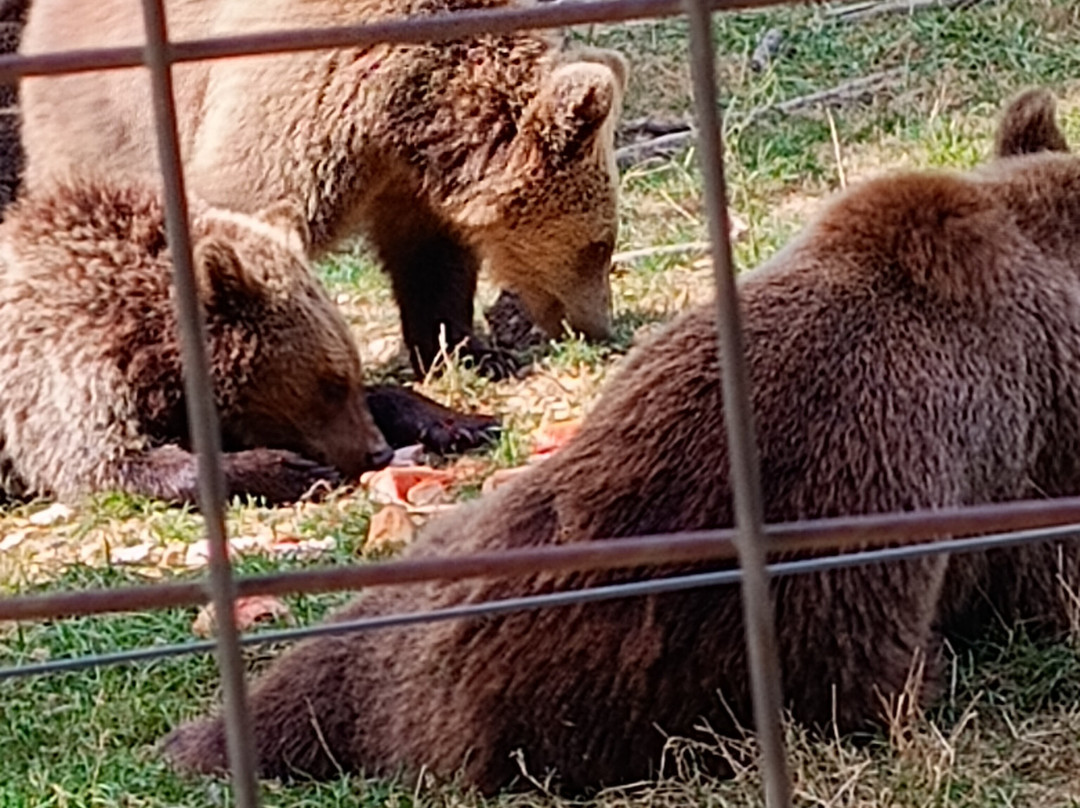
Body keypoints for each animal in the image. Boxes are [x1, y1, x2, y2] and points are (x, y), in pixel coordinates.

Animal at [0, 174, 495, 505]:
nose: (378, 452)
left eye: (348, 375)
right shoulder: (66, 365)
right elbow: (102, 461)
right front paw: (287, 469)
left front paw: (462, 421)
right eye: (329, 385)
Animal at [18, 0, 628, 378]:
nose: (599, 326)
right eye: (600, 245)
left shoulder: (405, 174)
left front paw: (469, 350)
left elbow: (432, 260)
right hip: (109, 123)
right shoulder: (313, 85)